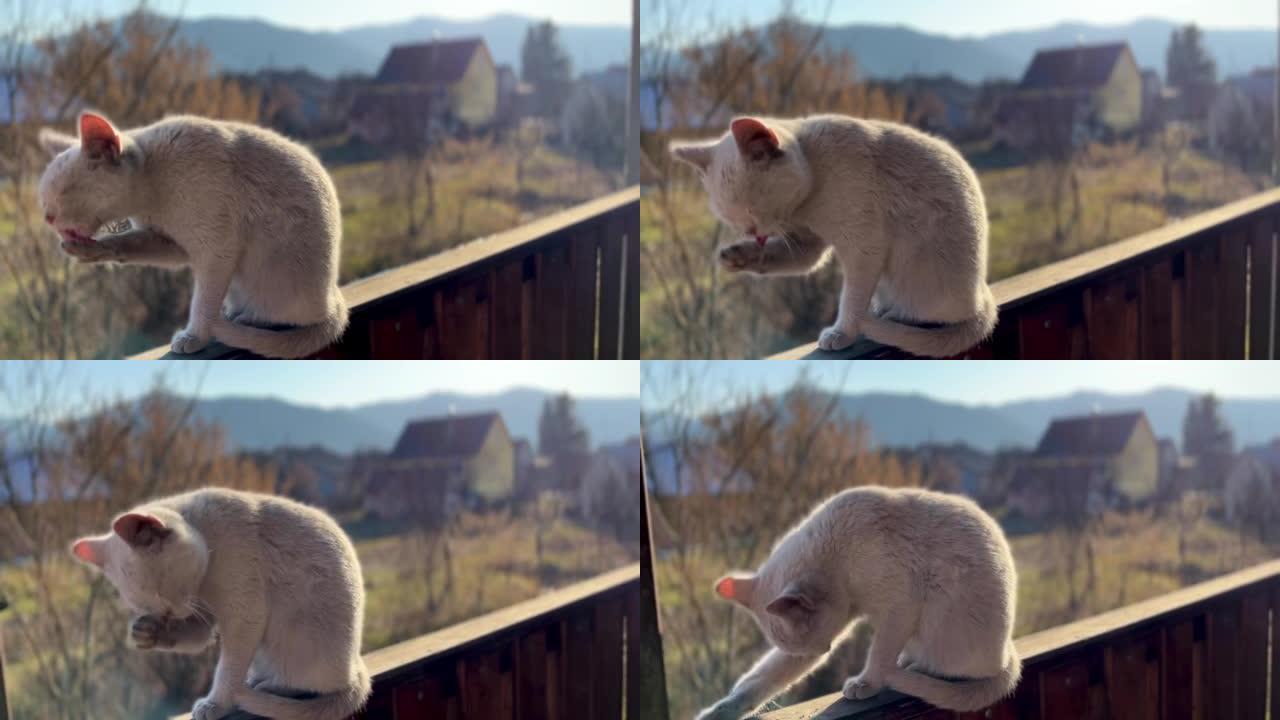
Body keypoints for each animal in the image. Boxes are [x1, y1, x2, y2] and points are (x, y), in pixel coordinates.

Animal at [40, 111, 350, 356]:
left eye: (65, 191)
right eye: (44, 197)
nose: (46, 217)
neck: (150, 198)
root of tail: (334, 296)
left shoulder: (215, 250)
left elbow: (202, 303)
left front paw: (194, 336)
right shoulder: (172, 244)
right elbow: (128, 244)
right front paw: (92, 250)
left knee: (285, 317)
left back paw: (244, 319)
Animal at [70, 484, 373, 712]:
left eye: (161, 593)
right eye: (147, 606)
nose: (169, 614)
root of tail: (355, 665)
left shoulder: (243, 615)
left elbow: (227, 670)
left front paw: (215, 704)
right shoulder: (202, 616)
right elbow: (194, 636)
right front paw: (146, 632)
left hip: (293, 636)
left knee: (309, 684)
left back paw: (264, 687)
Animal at [670, 114, 998, 356]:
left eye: (753, 210)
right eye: (732, 219)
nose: (752, 231)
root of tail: (983, 291)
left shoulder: (863, 247)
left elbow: (850, 298)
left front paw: (842, 332)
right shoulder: (805, 243)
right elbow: (780, 257)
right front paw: (734, 257)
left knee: (931, 315)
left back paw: (888, 317)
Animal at [701, 484, 1018, 712]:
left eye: (820, 645)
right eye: (810, 650)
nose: (823, 650)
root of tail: (1007, 651)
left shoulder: (900, 606)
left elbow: (878, 655)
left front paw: (867, 683)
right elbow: (759, 681)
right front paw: (721, 710)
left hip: (939, 611)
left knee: (956, 669)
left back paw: (912, 668)